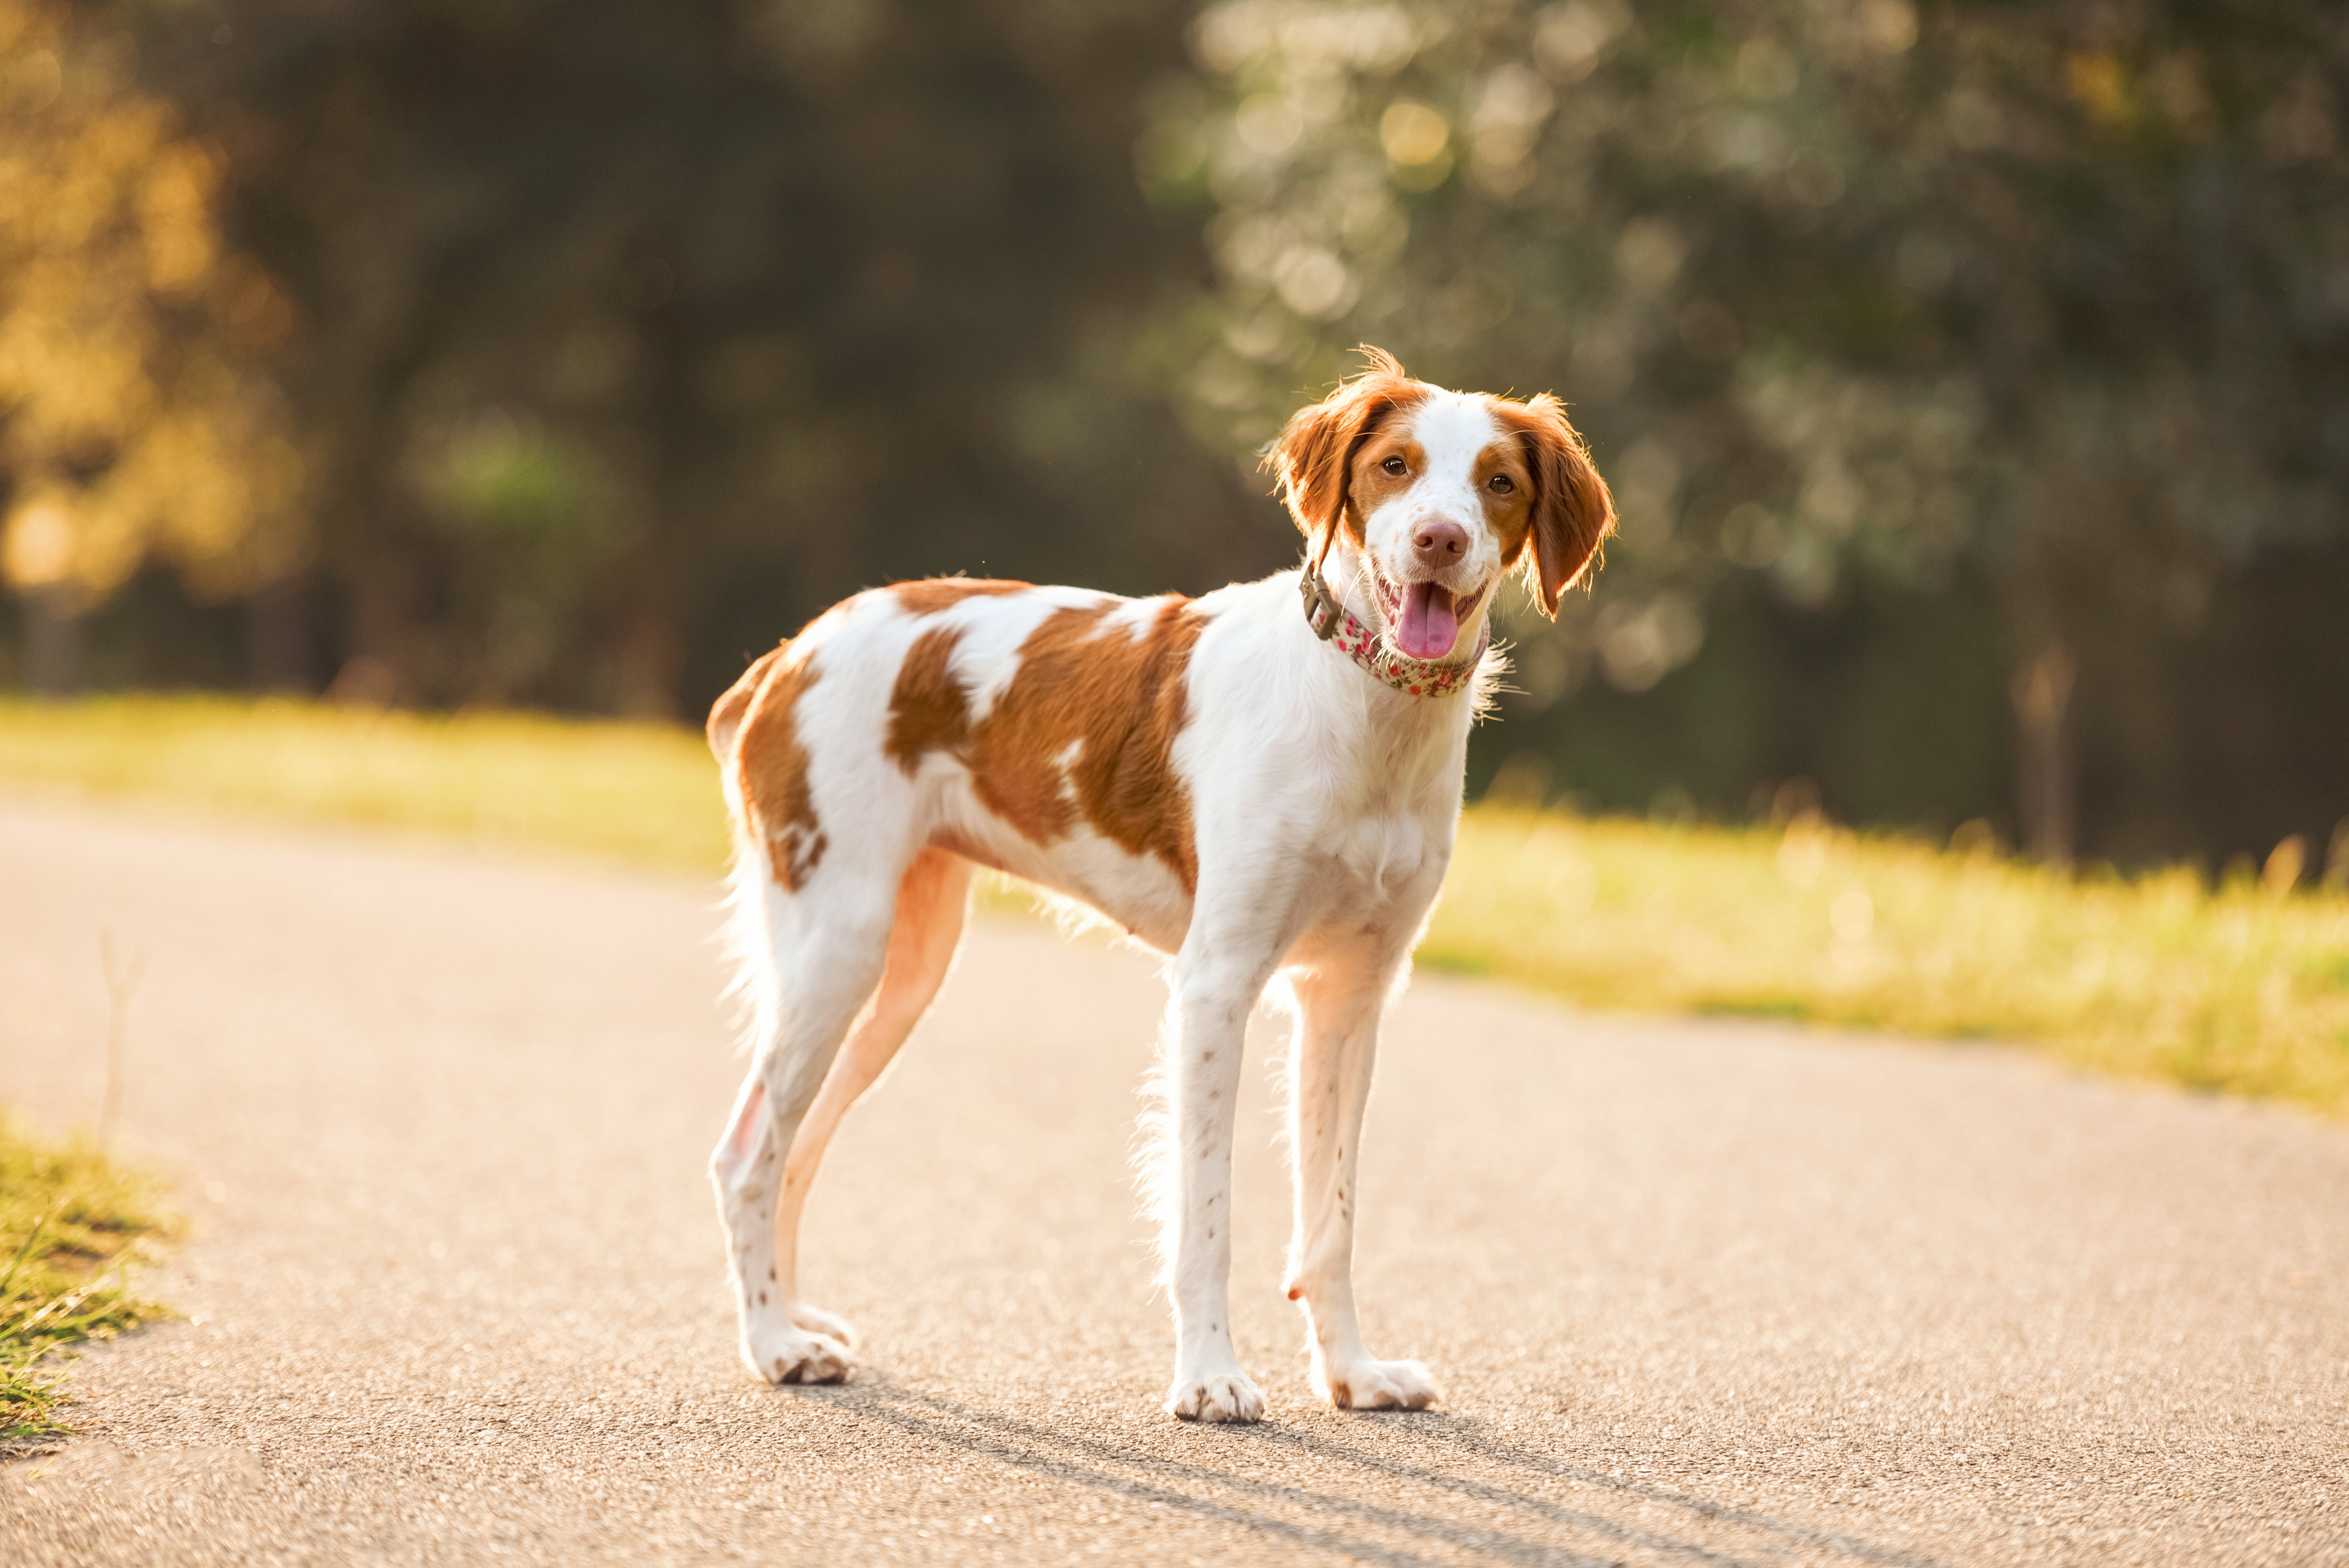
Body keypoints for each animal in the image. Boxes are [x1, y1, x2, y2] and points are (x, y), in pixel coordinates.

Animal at [704, 352, 1606, 1418]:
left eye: (1497, 482)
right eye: (1395, 465)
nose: (1440, 538)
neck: (1362, 710)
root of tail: (788, 654)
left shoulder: (1350, 995)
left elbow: (1332, 1219)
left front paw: (1351, 1372)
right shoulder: (1217, 981)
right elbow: (1206, 1214)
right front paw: (1211, 1375)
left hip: (903, 968)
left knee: (796, 1147)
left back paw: (795, 1319)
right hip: (836, 941)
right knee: (746, 1155)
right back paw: (772, 1344)